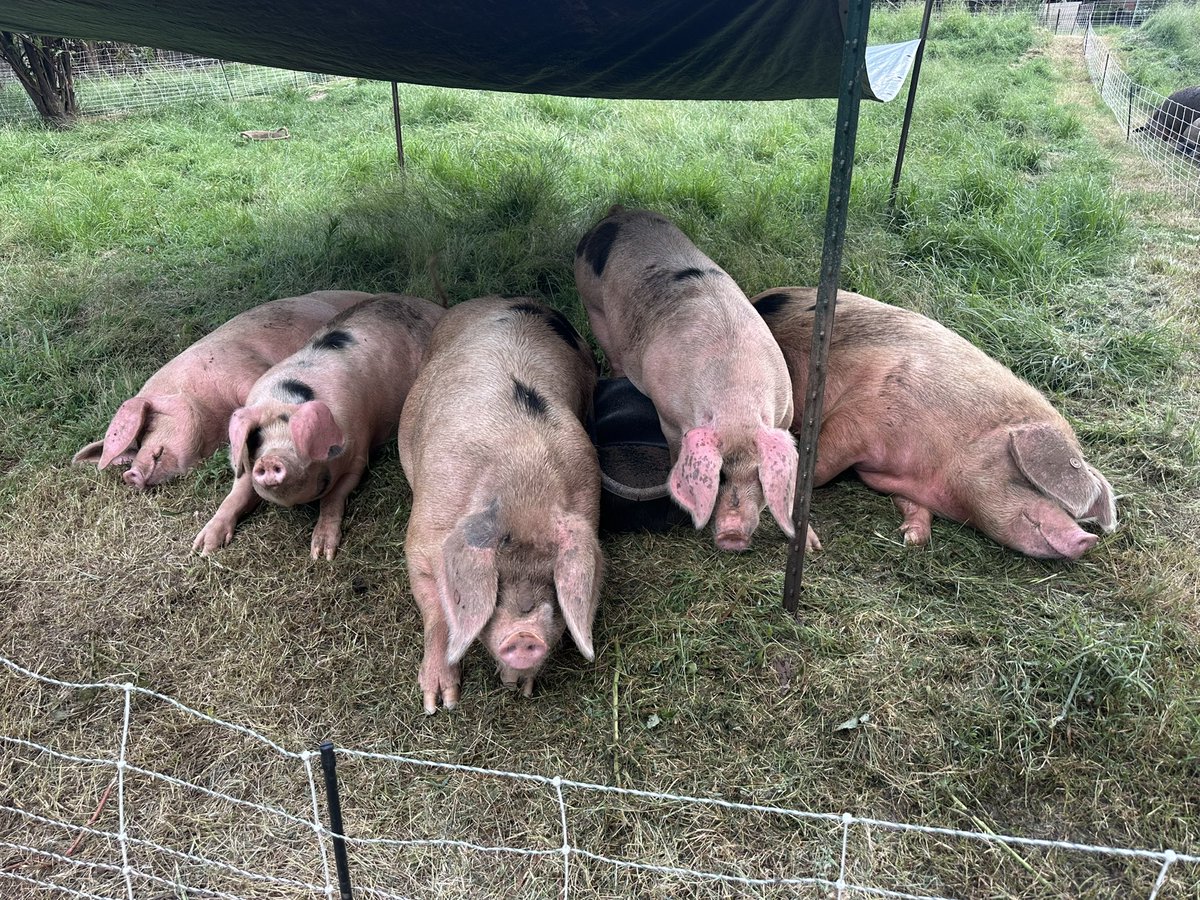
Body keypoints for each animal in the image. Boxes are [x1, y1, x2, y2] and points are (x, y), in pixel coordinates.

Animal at [193, 293, 444, 560]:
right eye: (257, 438)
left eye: (304, 436)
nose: (270, 460)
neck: (283, 398)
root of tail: (430, 305)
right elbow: (236, 494)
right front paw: (203, 548)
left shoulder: (358, 453)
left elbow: (333, 497)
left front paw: (321, 553)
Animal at [399, 296, 602, 713]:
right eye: (498, 580)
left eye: (550, 580)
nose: (525, 636)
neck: (525, 489)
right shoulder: (421, 538)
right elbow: (437, 611)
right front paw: (440, 703)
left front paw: (520, 688)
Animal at [574, 205, 814, 553]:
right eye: (718, 476)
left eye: (759, 475)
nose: (732, 536)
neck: (735, 401)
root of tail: (619, 213)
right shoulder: (670, 418)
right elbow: (676, 450)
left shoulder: (785, 413)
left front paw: (810, 546)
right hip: (593, 305)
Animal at [750, 287, 1118, 560]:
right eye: (1027, 480)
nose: (1088, 539)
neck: (932, 474)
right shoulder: (856, 419)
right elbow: (817, 471)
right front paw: (811, 543)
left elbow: (914, 509)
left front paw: (911, 538)